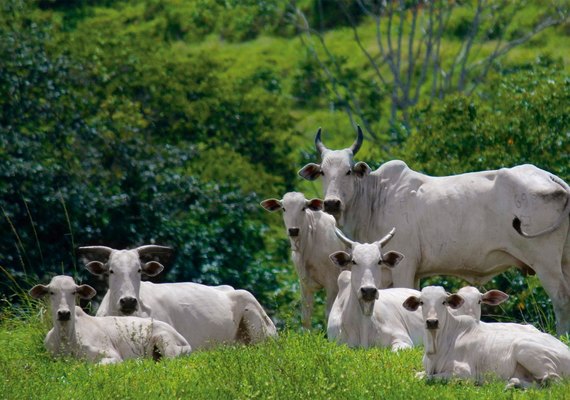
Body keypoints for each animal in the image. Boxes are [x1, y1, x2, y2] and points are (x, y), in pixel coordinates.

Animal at [28, 276, 191, 364]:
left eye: (74, 292)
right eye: (51, 292)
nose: (64, 313)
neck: (66, 338)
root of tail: (183, 340)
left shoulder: (112, 356)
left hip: (166, 343)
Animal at [260, 193, 344, 328]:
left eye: (303, 208)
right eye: (284, 208)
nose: (293, 230)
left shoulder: (332, 283)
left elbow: (329, 315)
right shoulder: (304, 284)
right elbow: (306, 318)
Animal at [298, 127, 568, 334]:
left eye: (348, 171)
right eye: (322, 172)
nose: (332, 203)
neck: (374, 198)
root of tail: (552, 178)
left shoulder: (404, 266)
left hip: (545, 261)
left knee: (561, 297)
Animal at [400, 286, 568, 390]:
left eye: (444, 302)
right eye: (421, 302)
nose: (432, 322)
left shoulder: (465, 373)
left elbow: (429, 378)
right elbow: (419, 375)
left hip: (525, 349)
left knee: (553, 381)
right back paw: (511, 384)